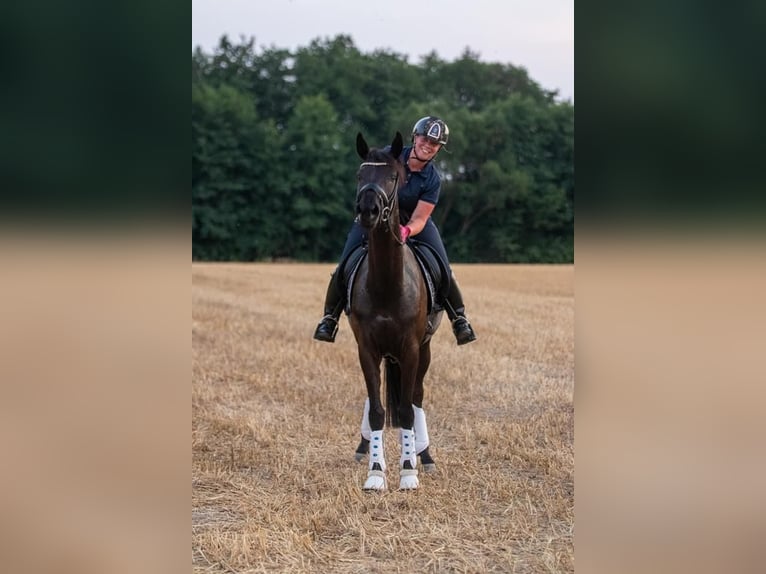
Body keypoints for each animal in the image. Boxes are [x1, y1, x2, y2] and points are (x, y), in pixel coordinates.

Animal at [348, 132, 444, 490]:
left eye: (392, 177)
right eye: (360, 175)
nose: (368, 210)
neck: (388, 284)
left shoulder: (411, 348)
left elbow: (405, 410)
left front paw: (408, 471)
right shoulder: (366, 348)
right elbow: (377, 409)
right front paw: (375, 471)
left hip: (424, 350)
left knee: (415, 397)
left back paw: (423, 456)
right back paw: (364, 449)